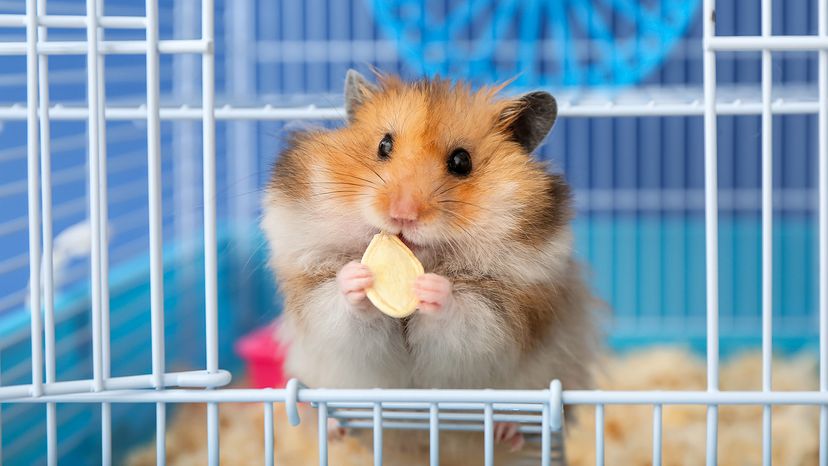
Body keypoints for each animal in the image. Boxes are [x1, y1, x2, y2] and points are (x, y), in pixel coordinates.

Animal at [261, 70, 600, 465]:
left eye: (461, 162)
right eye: (384, 145)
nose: (402, 215)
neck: (425, 259)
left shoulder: (504, 316)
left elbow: (465, 316)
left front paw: (433, 288)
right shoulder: (316, 301)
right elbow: (340, 308)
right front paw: (357, 278)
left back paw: (508, 429)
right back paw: (334, 426)